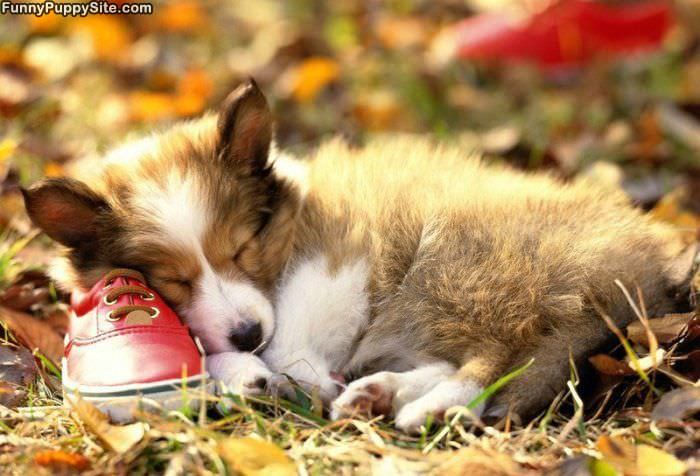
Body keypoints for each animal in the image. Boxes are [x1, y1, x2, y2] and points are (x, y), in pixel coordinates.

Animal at [23, 80, 696, 430]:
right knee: (469, 358)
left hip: (462, 266)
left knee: (498, 357)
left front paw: (281, 370)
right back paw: (378, 393)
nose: (246, 335)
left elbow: (293, 337)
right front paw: (242, 371)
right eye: (170, 281)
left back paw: (424, 407)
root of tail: (641, 273)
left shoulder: (337, 260)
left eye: (243, 246)